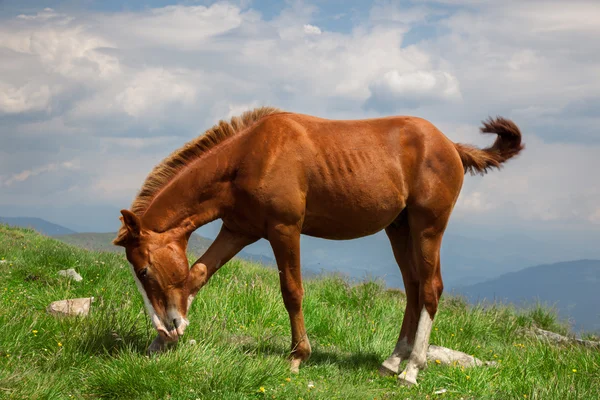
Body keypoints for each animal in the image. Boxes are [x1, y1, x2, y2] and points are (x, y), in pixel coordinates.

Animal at [113, 106, 524, 384]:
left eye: (144, 270)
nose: (167, 325)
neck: (251, 155)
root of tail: (450, 146)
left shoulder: (284, 230)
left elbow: (292, 291)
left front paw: (298, 356)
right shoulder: (238, 229)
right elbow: (197, 275)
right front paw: (162, 343)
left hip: (428, 228)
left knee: (431, 289)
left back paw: (412, 368)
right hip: (399, 229)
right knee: (413, 287)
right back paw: (392, 361)